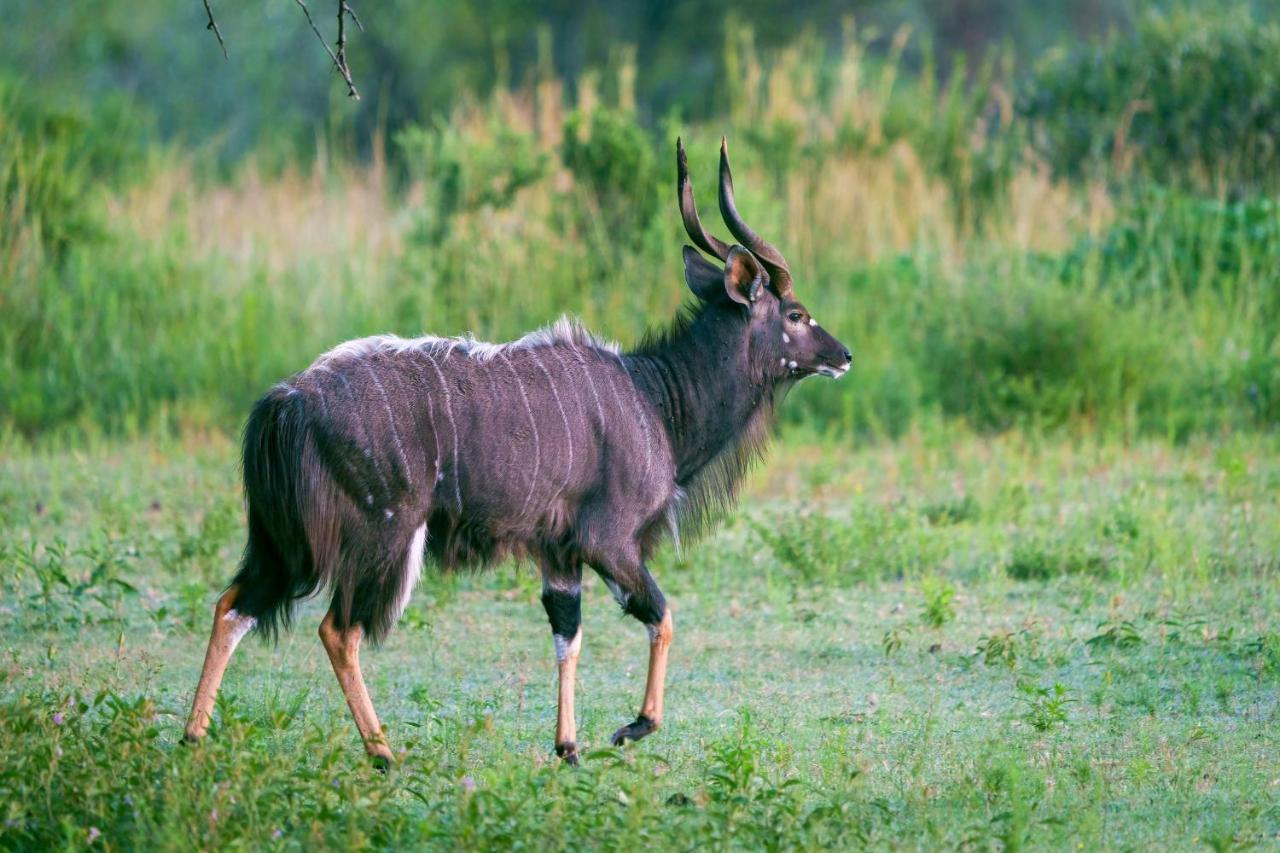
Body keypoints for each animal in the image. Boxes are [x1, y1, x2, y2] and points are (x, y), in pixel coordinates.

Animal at [183, 137, 849, 763]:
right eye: (796, 313)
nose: (843, 355)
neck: (654, 399)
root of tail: (284, 404)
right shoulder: (609, 541)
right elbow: (662, 615)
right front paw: (633, 727)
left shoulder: (559, 552)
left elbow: (567, 635)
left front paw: (568, 747)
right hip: (383, 535)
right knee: (338, 630)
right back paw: (383, 755)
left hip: (282, 542)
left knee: (232, 606)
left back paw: (193, 737)